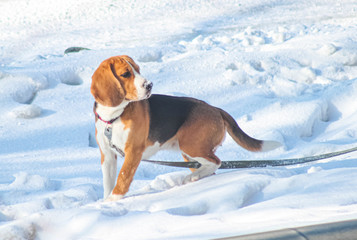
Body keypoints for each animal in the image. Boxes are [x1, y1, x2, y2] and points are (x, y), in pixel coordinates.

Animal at [90, 54, 280, 201]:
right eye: (126, 74)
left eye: (138, 69)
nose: (150, 85)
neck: (114, 117)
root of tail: (215, 109)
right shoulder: (107, 155)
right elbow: (109, 181)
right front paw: (105, 201)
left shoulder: (133, 152)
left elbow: (123, 178)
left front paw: (112, 201)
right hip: (189, 152)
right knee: (210, 167)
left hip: (190, 145)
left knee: (216, 162)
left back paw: (193, 176)